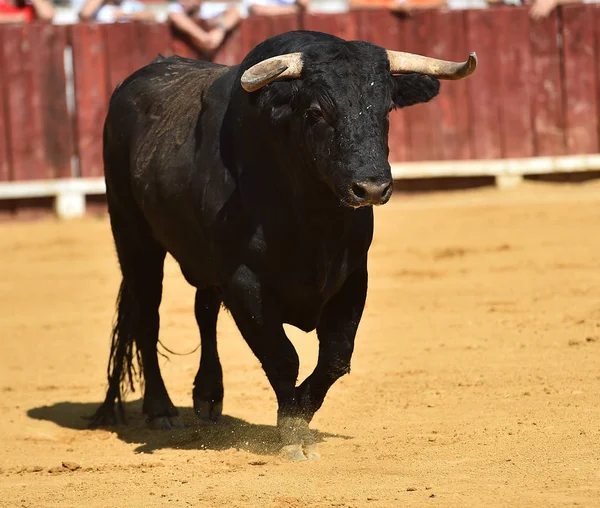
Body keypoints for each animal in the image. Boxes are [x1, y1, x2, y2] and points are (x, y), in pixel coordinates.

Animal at [89, 29, 476, 462]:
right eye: (316, 112)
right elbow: (282, 356)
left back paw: (208, 396)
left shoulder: (352, 276)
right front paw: (293, 432)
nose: (372, 187)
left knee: (204, 311)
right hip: (133, 235)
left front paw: (300, 415)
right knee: (147, 315)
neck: (312, 215)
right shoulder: (244, 281)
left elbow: (336, 357)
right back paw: (160, 411)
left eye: (387, 110)